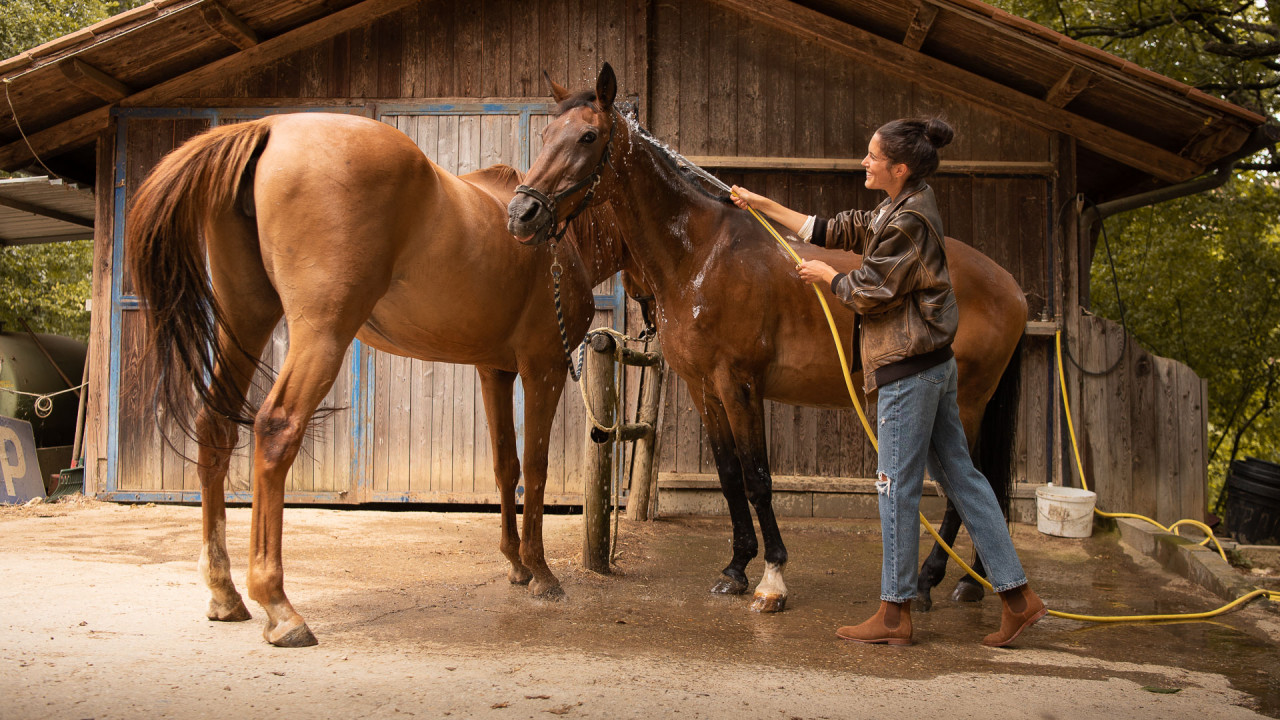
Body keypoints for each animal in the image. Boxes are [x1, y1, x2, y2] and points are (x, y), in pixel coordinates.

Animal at [124, 112, 624, 645]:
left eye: (586, 137)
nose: (524, 217)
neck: (563, 242)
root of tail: (270, 125)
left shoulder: (495, 371)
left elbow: (505, 466)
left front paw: (516, 564)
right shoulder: (543, 368)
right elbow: (535, 467)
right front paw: (542, 571)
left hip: (246, 319)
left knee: (214, 428)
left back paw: (224, 592)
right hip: (321, 333)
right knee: (276, 426)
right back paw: (280, 608)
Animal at [504, 63, 1024, 609]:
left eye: (588, 136)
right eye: (546, 134)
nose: (522, 215)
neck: (700, 254)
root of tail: (1011, 286)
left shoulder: (740, 385)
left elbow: (757, 478)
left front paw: (772, 577)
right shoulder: (704, 389)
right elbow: (731, 476)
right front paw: (735, 568)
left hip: (964, 404)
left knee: (969, 489)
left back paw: (930, 581)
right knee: (982, 488)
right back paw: (973, 581)